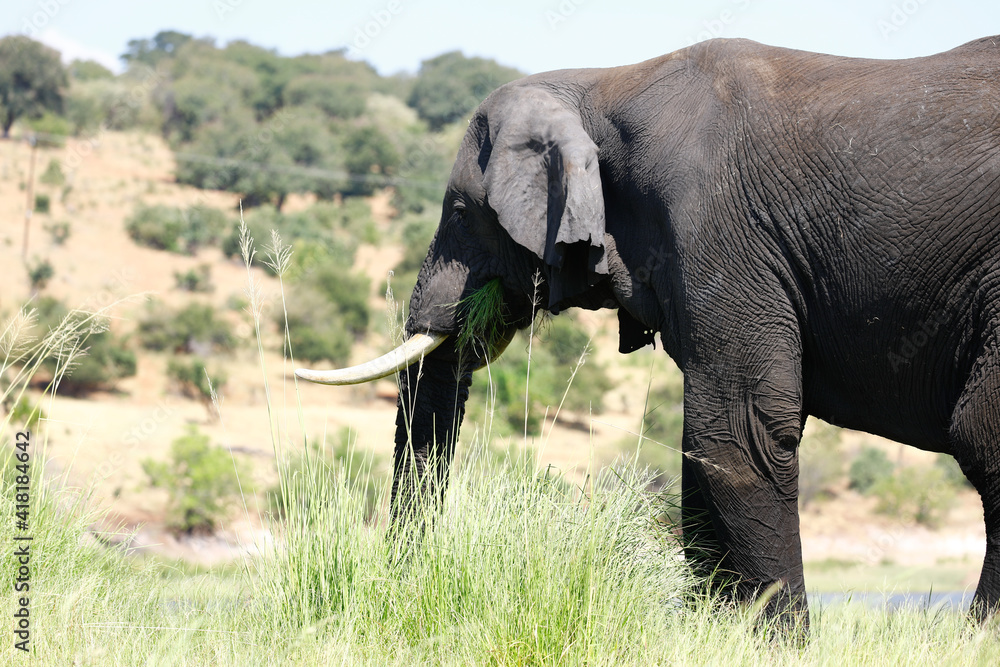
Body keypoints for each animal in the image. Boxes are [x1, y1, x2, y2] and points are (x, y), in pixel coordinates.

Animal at [298, 35, 1000, 626]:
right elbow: (703, 446)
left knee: (981, 437)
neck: (600, 82)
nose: (400, 587)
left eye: (465, 213)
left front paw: (777, 644)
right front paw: (714, 632)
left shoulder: (717, 228)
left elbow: (738, 436)